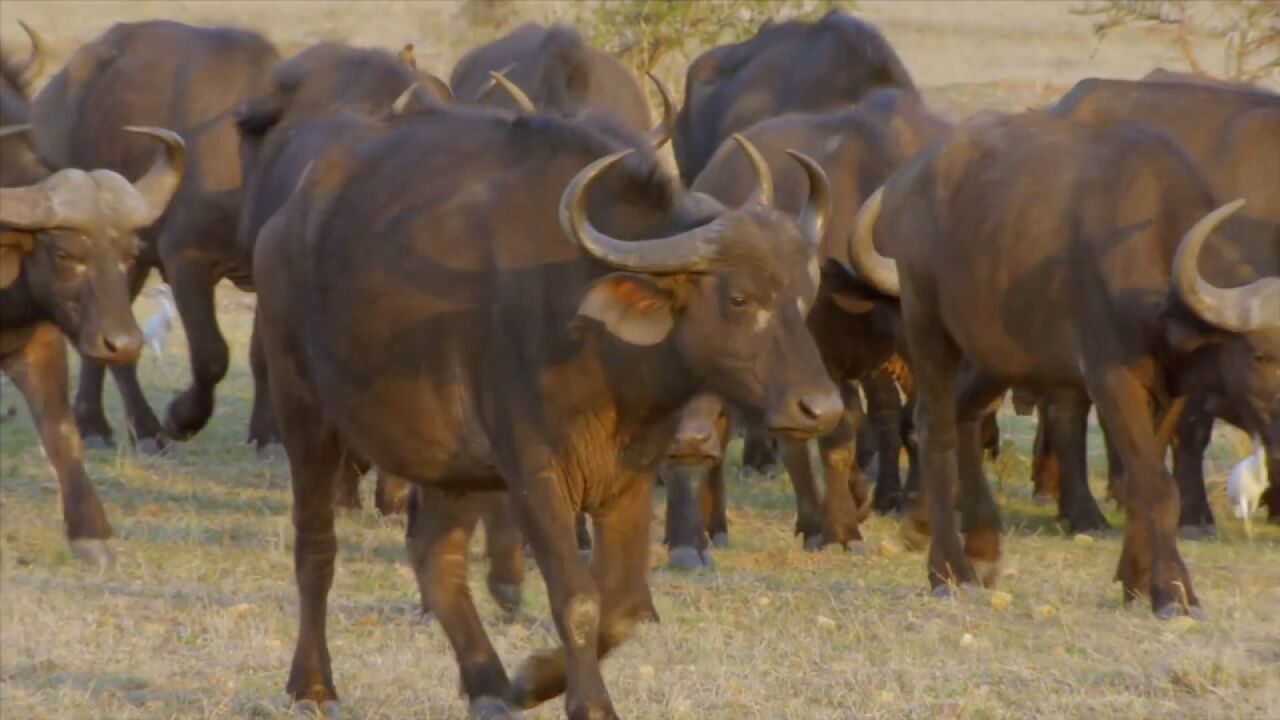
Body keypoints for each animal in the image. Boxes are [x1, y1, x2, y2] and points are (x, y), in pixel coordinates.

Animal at [0, 122, 185, 566]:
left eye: (130, 255)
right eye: (66, 254)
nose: (123, 343)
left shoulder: (40, 345)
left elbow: (62, 433)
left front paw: (90, 533)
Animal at [30, 19, 280, 448]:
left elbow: (262, 354)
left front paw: (268, 436)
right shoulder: (186, 259)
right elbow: (211, 354)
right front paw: (182, 418)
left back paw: (94, 425)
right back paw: (140, 429)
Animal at [254, 107, 844, 717]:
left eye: (803, 296)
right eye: (739, 298)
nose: (821, 409)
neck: (594, 342)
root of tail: (284, 224)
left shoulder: (627, 478)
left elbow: (623, 602)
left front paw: (531, 678)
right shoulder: (534, 476)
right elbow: (577, 597)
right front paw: (590, 703)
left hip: (449, 468)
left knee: (436, 559)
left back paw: (489, 686)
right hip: (305, 416)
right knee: (315, 548)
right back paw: (312, 685)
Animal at [844, 109, 1274, 614]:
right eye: (1260, 354)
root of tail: (905, 182)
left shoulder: (1170, 390)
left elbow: (1139, 483)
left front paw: (1136, 578)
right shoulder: (1110, 378)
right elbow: (1155, 485)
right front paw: (1173, 590)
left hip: (996, 355)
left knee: (966, 412)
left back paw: (974, 544)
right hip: (926, 322)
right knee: (935, 427)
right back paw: (948, 571)